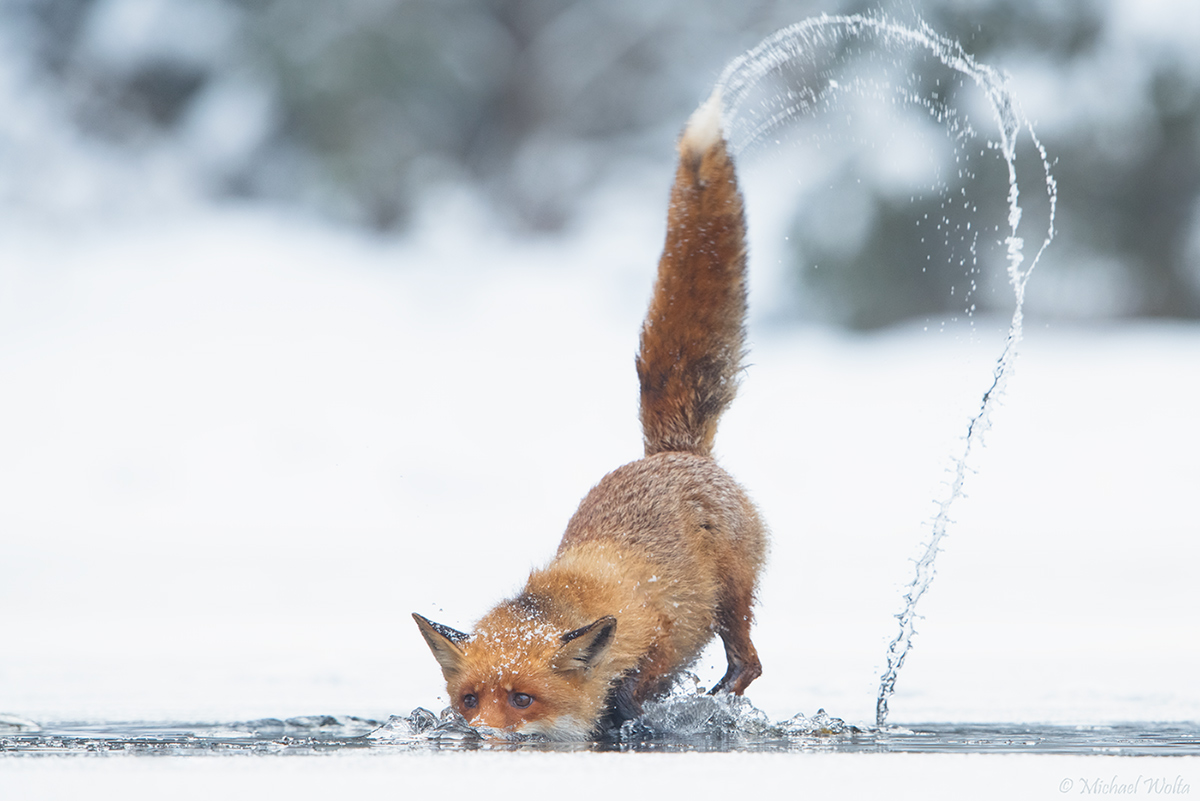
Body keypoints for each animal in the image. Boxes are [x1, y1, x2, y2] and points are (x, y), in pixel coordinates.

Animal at [412, 90, 768, 743]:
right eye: (470, 699)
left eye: (523, 699)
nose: (484, 738)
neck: (566, 599)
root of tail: (673, 451)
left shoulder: (659, 632)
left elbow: (636, 687)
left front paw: (627, 715)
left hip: (732, 602)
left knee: (748, 664)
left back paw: (714, 703)